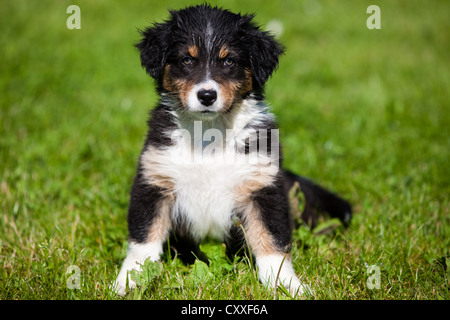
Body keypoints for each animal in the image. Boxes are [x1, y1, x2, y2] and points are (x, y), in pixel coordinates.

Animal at [112, 3, 352, 298]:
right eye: (187, 60)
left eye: (229, 61)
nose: (207, 95)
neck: (209, 133)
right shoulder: (154, 181)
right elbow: (143, 242)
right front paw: (129, 281)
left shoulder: (262, 187)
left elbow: (272, 241)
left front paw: (286, 284)